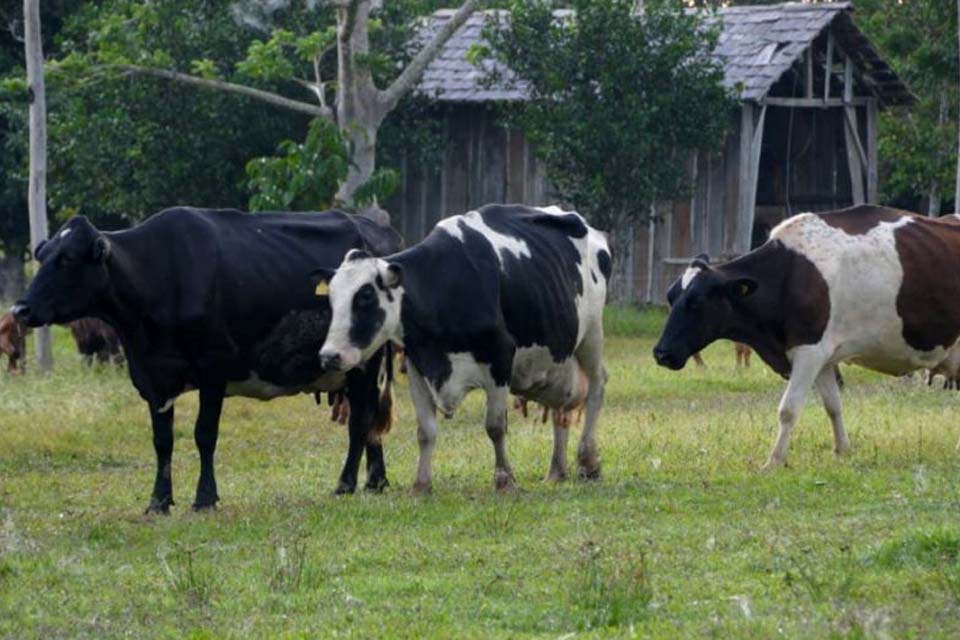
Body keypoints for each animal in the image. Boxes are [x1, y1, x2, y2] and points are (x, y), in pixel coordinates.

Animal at [16, 208, 404, 512]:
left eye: (67, 259)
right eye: (43, 254)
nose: (20, 308)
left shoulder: (213, 369)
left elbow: (204, 434)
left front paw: (205, 497)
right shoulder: (152, 378)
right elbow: (162, 440)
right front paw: (159, 501)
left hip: (364, 361)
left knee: (361, 419)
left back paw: (347, 483)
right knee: (370, 416)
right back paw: (376, 481)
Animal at [652, 205, 960, 470]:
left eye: (696, 302)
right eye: (671, 297)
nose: (661, 353)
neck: (788, 274)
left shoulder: (808, 351)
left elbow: (788, 409)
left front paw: (773, 462)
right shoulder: (823, 357)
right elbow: (833, 406)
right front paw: (841, 450)